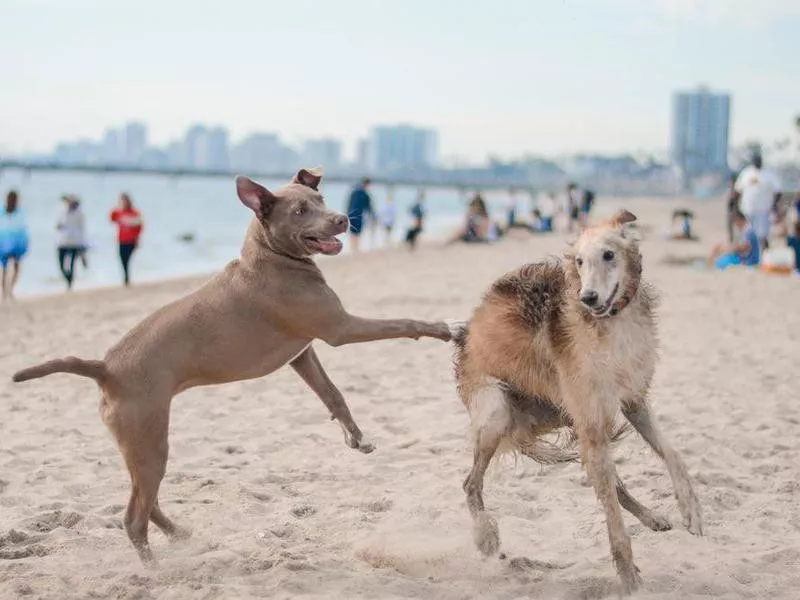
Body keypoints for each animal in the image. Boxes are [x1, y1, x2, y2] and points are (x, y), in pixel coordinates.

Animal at [10, 168, 456, 564]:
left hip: (138, 446)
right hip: (149, 442)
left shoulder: (302, 354)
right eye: (300, 211)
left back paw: (181, 536)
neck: (271, 256)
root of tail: (104, 366)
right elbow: (404, 322)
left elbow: (334, 394)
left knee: (146, 503)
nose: (343, 219)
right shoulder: (340, 329)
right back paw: (156, 569)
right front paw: (446, 328)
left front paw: (355, 437)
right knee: (135, 516)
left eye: (321, 199)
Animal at [454, 211, 704, 596]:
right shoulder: (595, 420)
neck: (609, 324)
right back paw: (486, 537)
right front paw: (629, 578)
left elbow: (672, 453)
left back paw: (653, 518)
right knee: (470, 484)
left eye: (609, 255)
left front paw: (689, 508)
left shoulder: (632, 402)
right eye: (580, 262)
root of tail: (464, 335)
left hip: (565, 416)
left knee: (614, 484)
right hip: (499, 412)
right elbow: (613, 520)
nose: (588, 297)